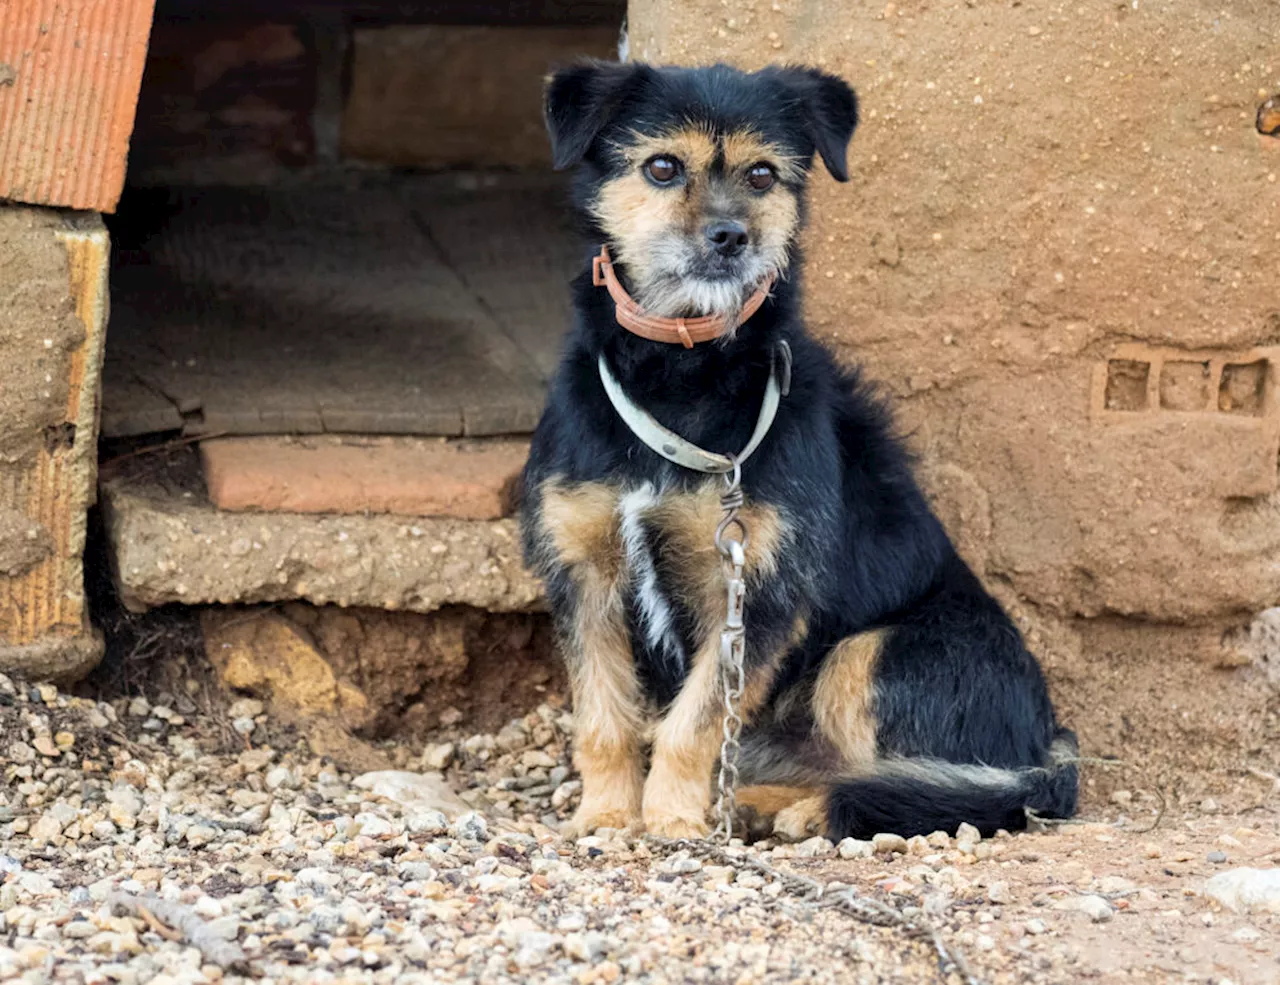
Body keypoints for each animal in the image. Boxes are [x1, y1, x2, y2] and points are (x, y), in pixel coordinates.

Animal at [514, 59, 1075, 839]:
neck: (683, 373)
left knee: (915, 778)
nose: (731, 238)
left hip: (871, 653)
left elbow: (693, 722)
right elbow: (604, 715)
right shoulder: (583, 569)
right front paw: (607, 814)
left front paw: (673, 819)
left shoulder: (757, 588)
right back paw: (758, 803)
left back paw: (805, 811)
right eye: (661, 167)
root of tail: (1047, 743)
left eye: (761, 175)